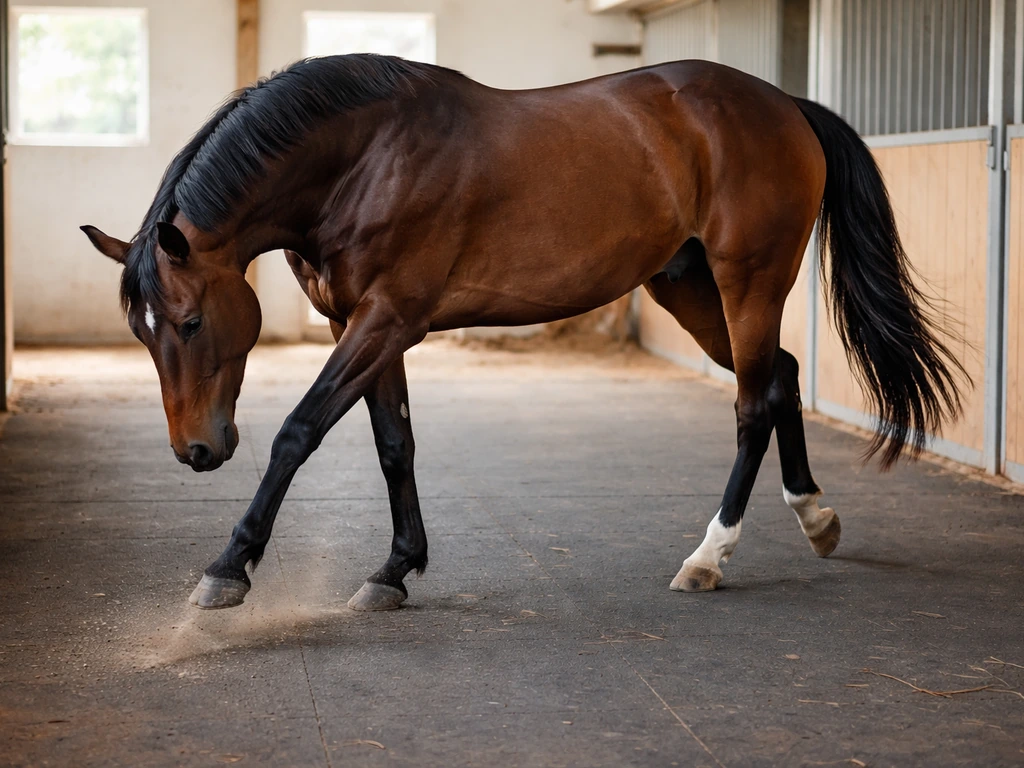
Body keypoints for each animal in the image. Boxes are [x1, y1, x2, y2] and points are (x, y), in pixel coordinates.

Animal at [82, 54, 965, 611]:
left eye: (191, 322)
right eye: (143, 335)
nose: (197, 451)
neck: (365, 156)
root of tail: (786, 106)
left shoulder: (386, 319)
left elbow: (299, 432)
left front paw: (230, 566)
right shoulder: (363, 324)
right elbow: (393, 444)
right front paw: (396, 570)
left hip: (750, 280)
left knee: (752, 405)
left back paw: (708, 557)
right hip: (690, 290)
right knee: (779, 376)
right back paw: (814, 517)